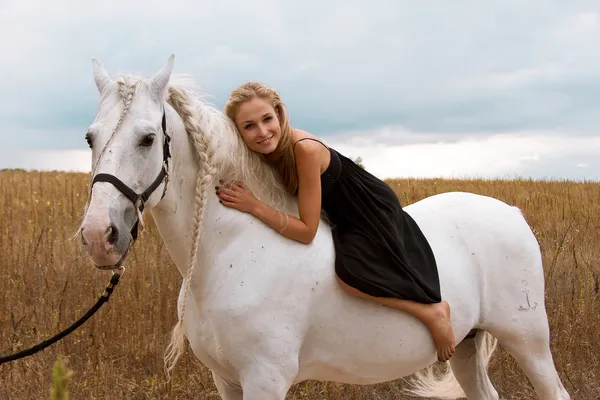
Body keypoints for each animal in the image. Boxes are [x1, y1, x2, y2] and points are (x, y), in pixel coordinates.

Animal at [77, 54, 568, 400]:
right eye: (89, 137)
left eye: (148, 138)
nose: (100, 236)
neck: (234, 251)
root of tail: (512, 213)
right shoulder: (226, 380)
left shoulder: (265, 380)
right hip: (468, 346)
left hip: (528, 340)